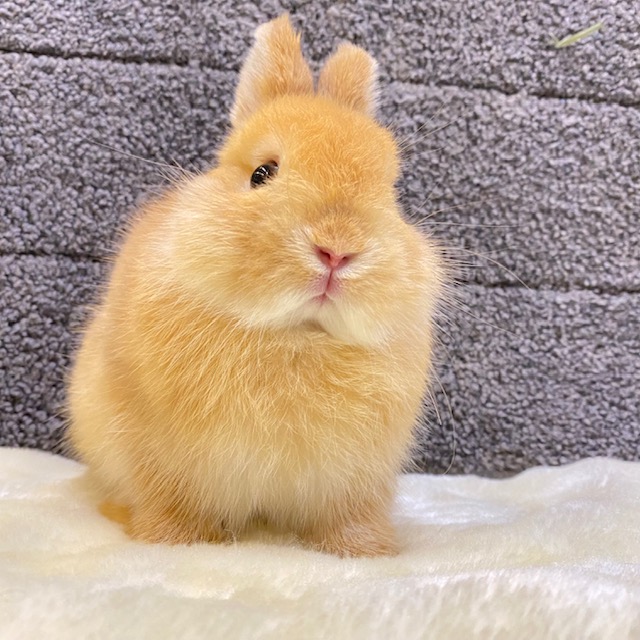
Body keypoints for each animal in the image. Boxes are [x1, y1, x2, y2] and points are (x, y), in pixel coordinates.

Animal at [66, 13, 444, 556]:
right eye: (263, 172)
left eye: (391, 194)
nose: (337, 248)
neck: (296, 337)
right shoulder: (158, 458)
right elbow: (169, 505)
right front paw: (176, 542)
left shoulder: (356, 482)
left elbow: (349, 521)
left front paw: (365, 553)